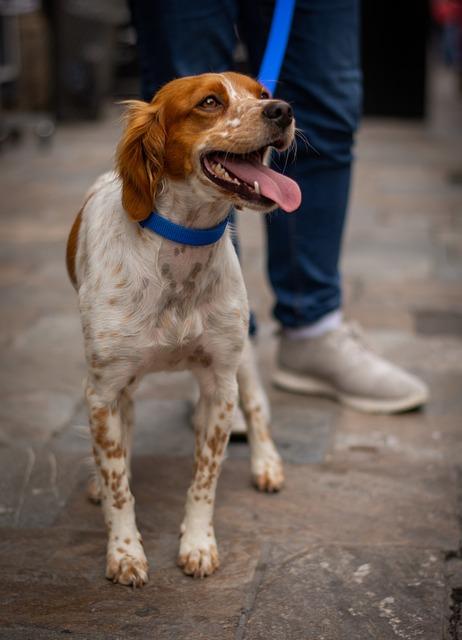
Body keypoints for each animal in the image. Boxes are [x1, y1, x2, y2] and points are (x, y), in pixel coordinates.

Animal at [67, 72, 302, 588]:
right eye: (209, 102)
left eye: (260, 94)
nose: (283, 109)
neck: (179, 251)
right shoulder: (103, 390)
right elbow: (118, 482)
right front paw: (124, 551)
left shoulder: (220, 384)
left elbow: (204, 478)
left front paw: (197, 544)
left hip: (242, 355)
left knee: (258, 405)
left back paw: (266, 463)